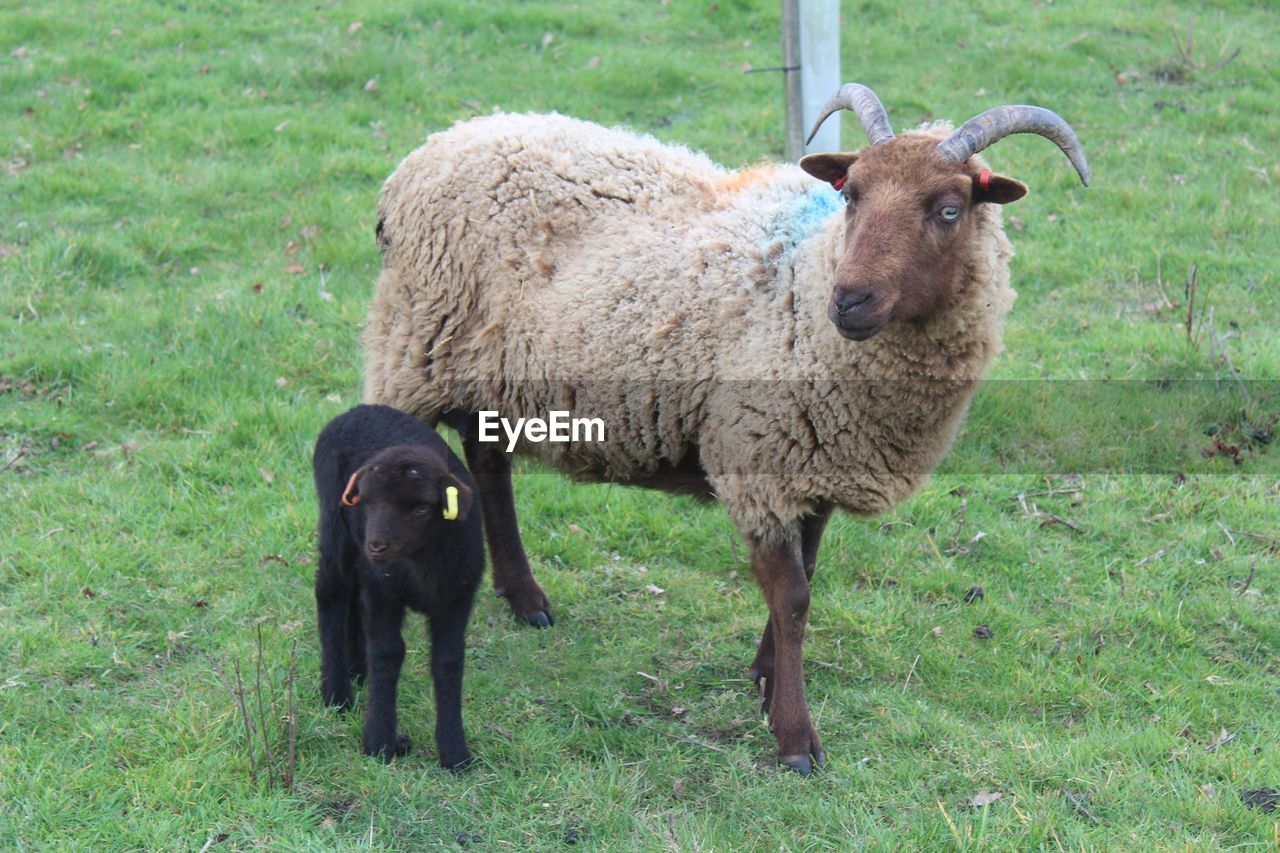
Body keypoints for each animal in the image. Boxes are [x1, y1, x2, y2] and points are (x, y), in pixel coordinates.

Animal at [313, 402, 483, 768]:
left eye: (421, 508)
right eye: (368, 501)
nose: (376, 546)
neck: (421, 565)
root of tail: (358, 409)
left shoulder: (457, 599)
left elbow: (448, 661)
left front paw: (454, 753)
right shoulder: (384, 595)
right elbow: (388, 653)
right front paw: (379, 742)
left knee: (353, 593)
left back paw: (357, 671)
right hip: (336, 527)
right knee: (331, 592)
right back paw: (337, 693)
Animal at [360, 84, 1090, 768]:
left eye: (949, 209)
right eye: (851, 195)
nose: (848, 301)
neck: (805, 283)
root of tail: (432, 150)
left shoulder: (817, 459)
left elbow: (806, 576)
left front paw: (766, 678)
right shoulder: (759, 455)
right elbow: (792, 596)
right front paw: (794, 736)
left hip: (484, 371)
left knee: (487, 464)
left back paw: (525, 598)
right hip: (411, 352)